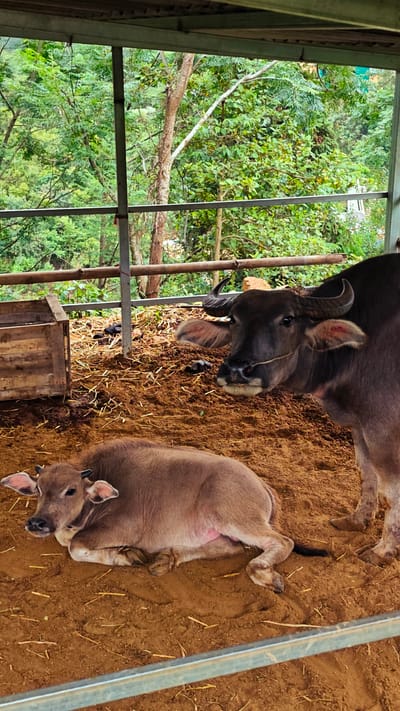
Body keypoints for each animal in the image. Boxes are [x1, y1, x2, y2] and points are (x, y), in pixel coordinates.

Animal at [0, 438, 327, 593]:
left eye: (70, 491)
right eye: (38, 489)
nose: (37, 523)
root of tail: (260, 483)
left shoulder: (121, 528)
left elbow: (75, 547)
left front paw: (126, 555)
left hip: (235, 518)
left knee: (281, 542)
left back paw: (264, 574)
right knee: (228, 547)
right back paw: (167, 558)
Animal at [176, 253, 400, 566]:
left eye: (287, 319)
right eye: (234, 319)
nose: (237, 371)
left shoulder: (383, 427)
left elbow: (390, 492)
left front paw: (383, 550)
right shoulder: (359, 424)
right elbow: (366, 473)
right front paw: (357, 520)